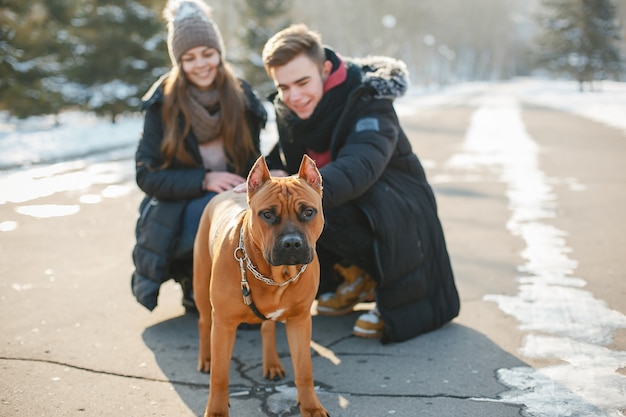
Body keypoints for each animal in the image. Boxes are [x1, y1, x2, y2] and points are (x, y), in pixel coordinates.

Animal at [193, 154, 330, 414]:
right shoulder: (224, 325)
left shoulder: (299, 321)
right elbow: (219, 376)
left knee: (267, 327)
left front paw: (310, 407)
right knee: (204, 322)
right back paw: (205, 358)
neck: (274, 275)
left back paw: (272, 363)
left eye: (309, 212)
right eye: (267, 214)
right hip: (201, 288)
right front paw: (216, 410)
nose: (292, 243)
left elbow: (304, 369)